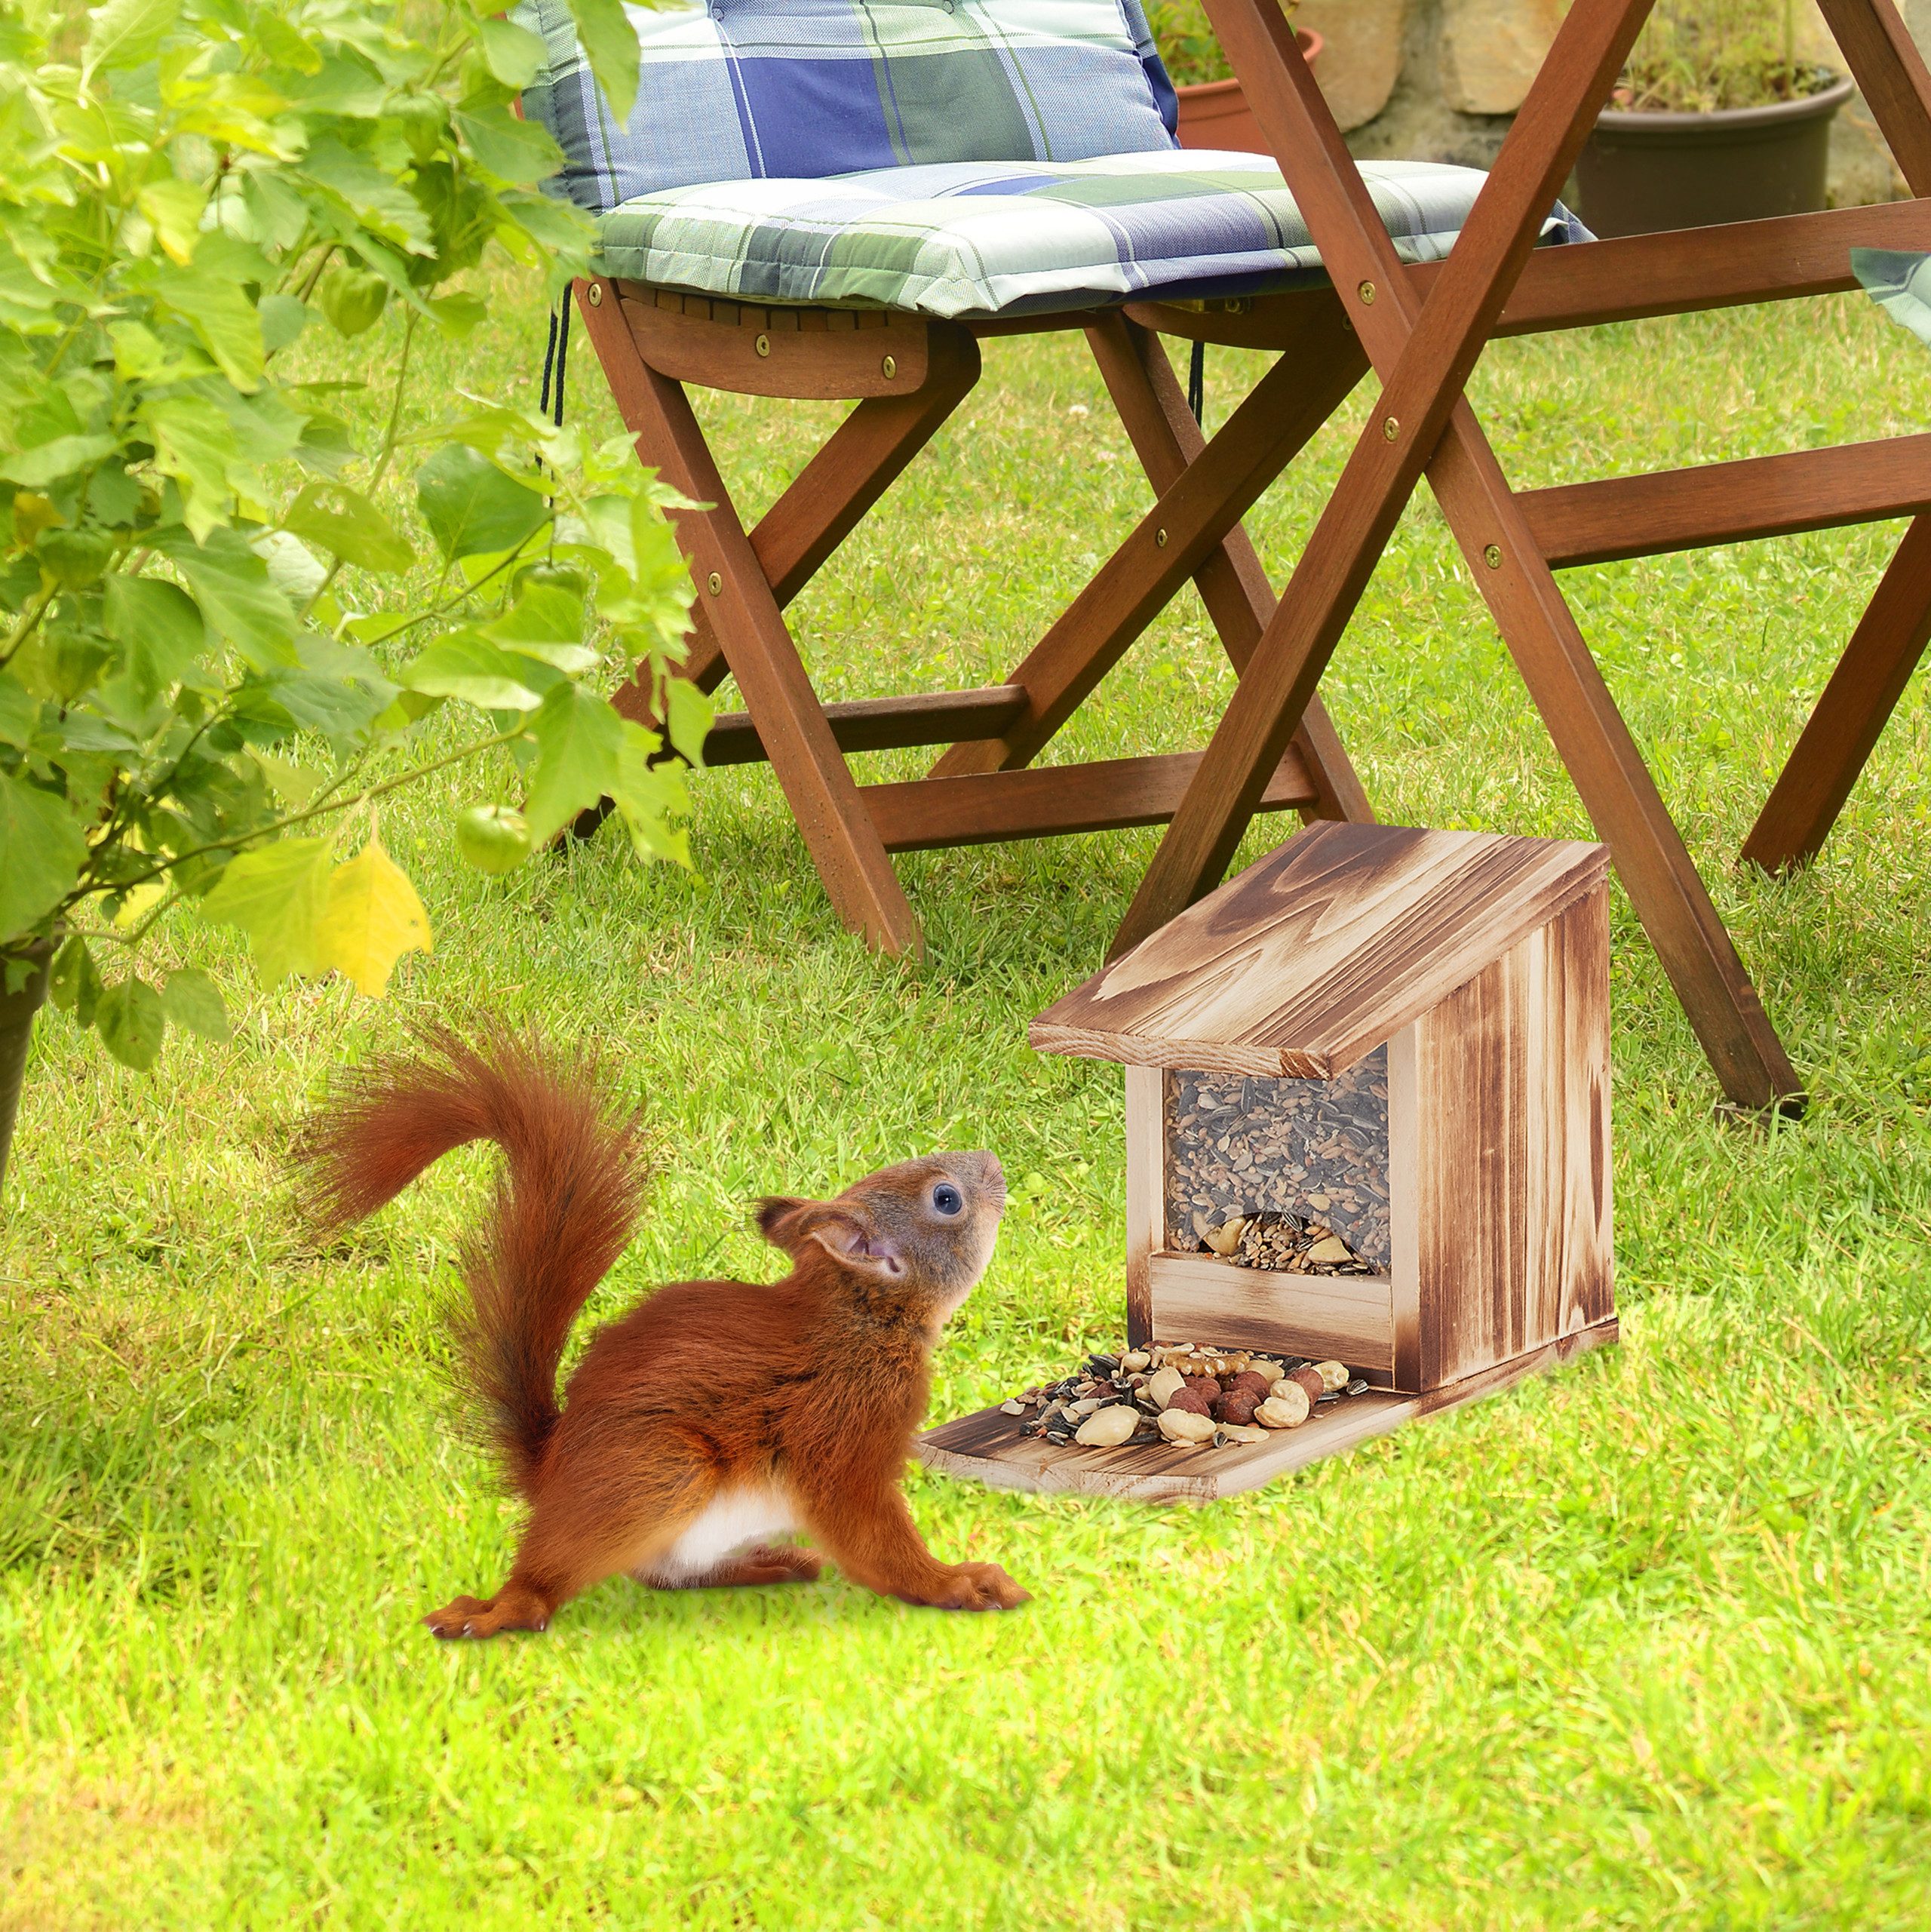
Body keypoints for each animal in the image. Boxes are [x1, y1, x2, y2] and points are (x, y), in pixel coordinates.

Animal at [295, 1026, 1028, 1638]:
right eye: (946, 1199)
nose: (996, 1160)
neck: (863, 1320)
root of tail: (551, 1470)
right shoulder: (838, 1429)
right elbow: (873, 1539)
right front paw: (958, 1582)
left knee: (669, 1575)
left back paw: (763, 1565)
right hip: (661, 1471)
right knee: (563, 1573)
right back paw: (510, 1606)